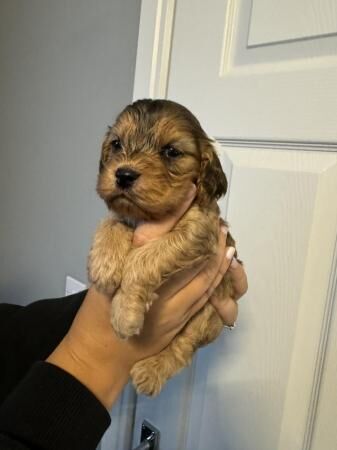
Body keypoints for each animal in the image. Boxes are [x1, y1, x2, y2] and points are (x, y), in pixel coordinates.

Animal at [89, 100, 236, 396]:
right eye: (116, 144)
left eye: (171, 151)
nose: (123, 174)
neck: (149, 216)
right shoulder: (123, 215)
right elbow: (110, 224)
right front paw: (104, 266)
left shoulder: (198, 231)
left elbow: (144, 258)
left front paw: (124, 311)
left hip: (205, 316)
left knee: (182, 348)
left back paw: (151, 371)